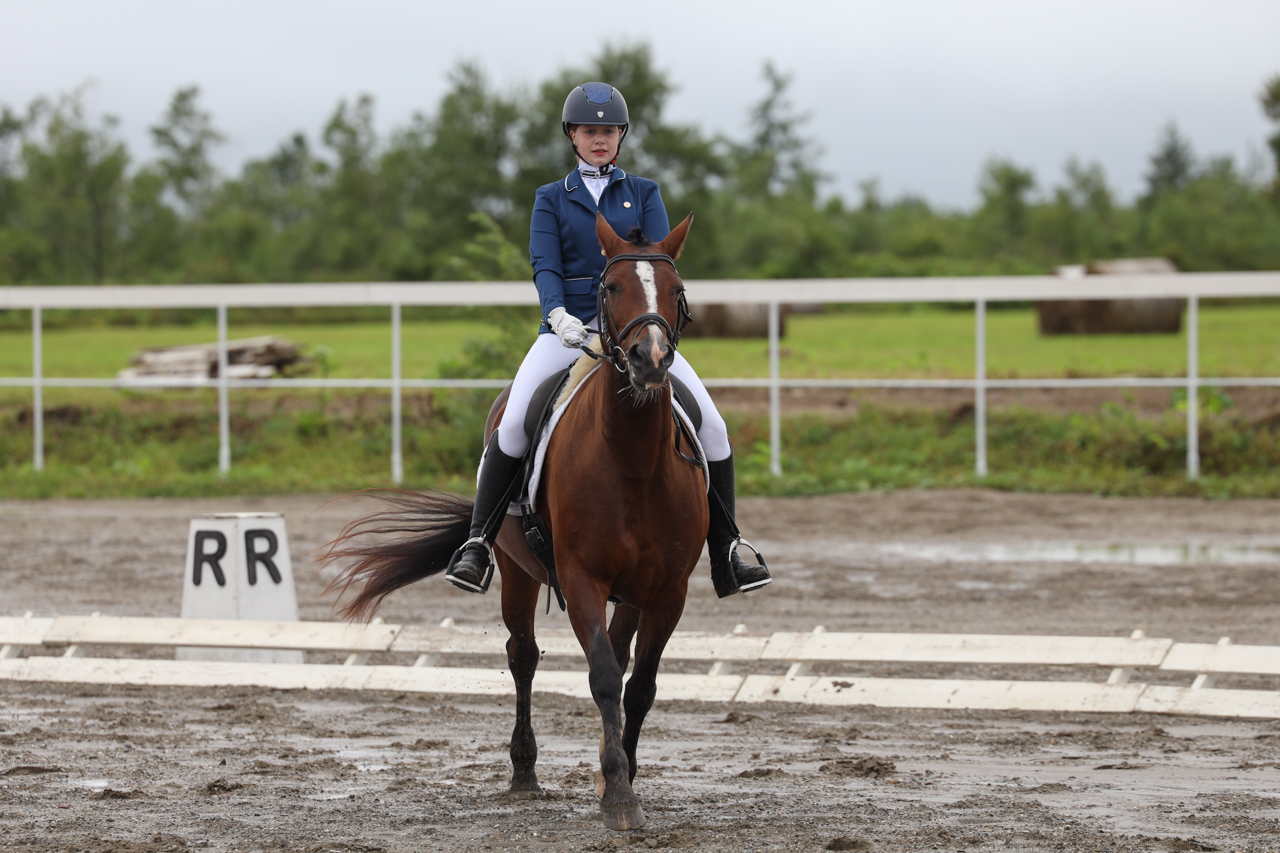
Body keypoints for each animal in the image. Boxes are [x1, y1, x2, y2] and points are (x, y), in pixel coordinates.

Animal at [316, 212, 706, 829]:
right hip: (516, 571)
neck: (635, 461)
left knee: (618, 662)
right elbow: (601, 677)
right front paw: (620, 796)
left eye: (675, 290)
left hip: (631, 591)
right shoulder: (581, 577)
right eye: (611, 287)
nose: (650, 361)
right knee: (523, 656)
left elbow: (638, 686)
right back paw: (524, 771)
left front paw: (617, 778)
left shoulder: (668, 590)